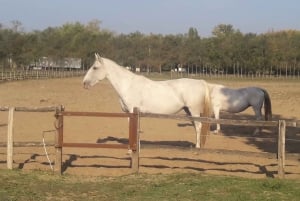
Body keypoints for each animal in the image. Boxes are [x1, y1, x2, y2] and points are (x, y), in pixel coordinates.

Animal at [83, 53, 212, 148]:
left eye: (95, 67)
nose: (84, 83)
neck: (128, 85)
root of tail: (201, 82)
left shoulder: (132, 112)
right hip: (188, 111)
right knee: (195, 126)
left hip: (194, 110)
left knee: (199, 126)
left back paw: (197, 148)